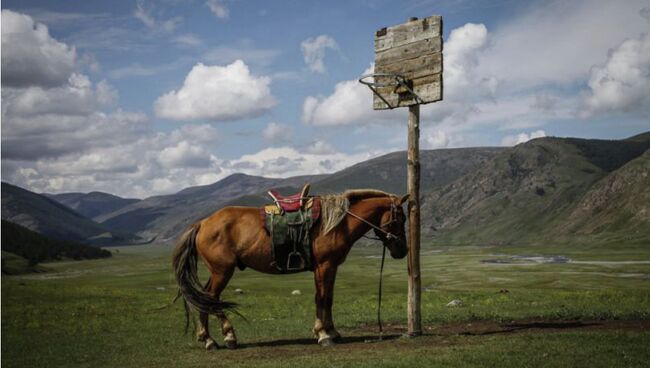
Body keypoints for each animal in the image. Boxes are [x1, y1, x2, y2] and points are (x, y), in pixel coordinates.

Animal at [172, 191, 404, 350]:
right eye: (399, 219)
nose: (403, 250)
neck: (338, 223)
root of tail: (203, 223)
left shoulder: (329, 267)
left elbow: (327, 298)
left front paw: (332, 331)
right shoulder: (324, 266)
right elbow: (322, 298)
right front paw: (323, 335)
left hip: (217, 272)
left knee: (205, 297)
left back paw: (207, 338)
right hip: (222, 271)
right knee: (211, 297)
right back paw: (226, 337)